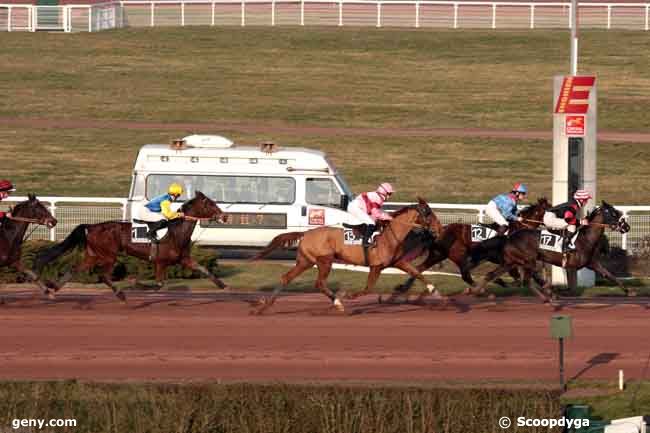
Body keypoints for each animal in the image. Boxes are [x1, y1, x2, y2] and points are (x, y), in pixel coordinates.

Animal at [34, 191, 230, 298]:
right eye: (210, 204)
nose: (224, 216)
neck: (177, 232)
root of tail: (91, 226)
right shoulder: (160, 262)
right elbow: (159, 285)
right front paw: (137, 284)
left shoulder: (183, 259)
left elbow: (204, 269)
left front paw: (222, 285)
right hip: (108, 255)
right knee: (103, 276)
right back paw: (120, 294)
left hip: (93, 255)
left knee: (75, 269)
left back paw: (53, 289)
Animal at [248, 197, 440, 312]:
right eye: (428, 213)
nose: (438, 229)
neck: (390, 235)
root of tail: (306, 233)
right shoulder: (376, 266)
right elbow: (368, 288)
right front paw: (349, 296)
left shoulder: (398, 262)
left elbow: (417, 272)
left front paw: (435, 291)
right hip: (324, 261)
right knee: (319, 283)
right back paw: (338, 303)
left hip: (306, 261)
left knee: (286, 278)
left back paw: (264, 306)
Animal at [388, 196, 548, 296]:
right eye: (550, 210)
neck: (518, 228)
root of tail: (440, 230)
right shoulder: (510, 259)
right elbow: (521, 276)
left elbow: (528, 274)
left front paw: (543, 284)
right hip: (458, 254)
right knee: (465, 274)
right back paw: (480, 291)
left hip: (438, 255)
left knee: (419, 268)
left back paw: (403, 288)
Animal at [468, 199, 632, 300]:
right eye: (614, 213)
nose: (626, 227)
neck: (585, 238)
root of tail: (509, 237)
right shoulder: (571, 265)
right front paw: (554, 292)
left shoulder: (592, 263)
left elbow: (610, 275)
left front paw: (629, 291)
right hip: (526, 260)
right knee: (524, 279)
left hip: (512, 261)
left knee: (493, 275)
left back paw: (477, 290)